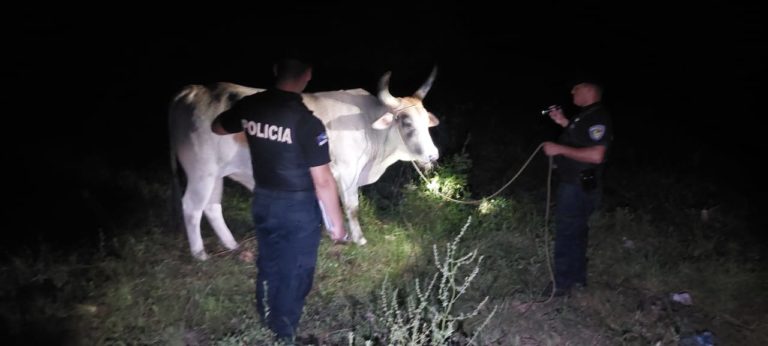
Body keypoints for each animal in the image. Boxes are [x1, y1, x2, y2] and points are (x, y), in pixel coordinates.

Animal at [171, 69, 440, 260]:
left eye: (425, 121)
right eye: (405, 121)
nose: (433, 155)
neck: (366, 123)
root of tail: (194, 91)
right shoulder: (347, 171)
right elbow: (351, 207)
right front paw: (359, 239)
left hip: (216, 175)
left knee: (212, 207)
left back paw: (231, 244)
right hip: (201, 173)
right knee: (192, 207)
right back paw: (200, 253)